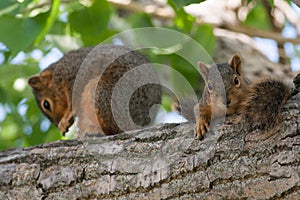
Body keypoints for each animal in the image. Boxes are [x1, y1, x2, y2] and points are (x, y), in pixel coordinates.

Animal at [28, 44, 162, 137]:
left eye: (46, 104)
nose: (57, 125)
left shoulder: (72, 73)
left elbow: (73, 99)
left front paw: (66, 118)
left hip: (107, 93)